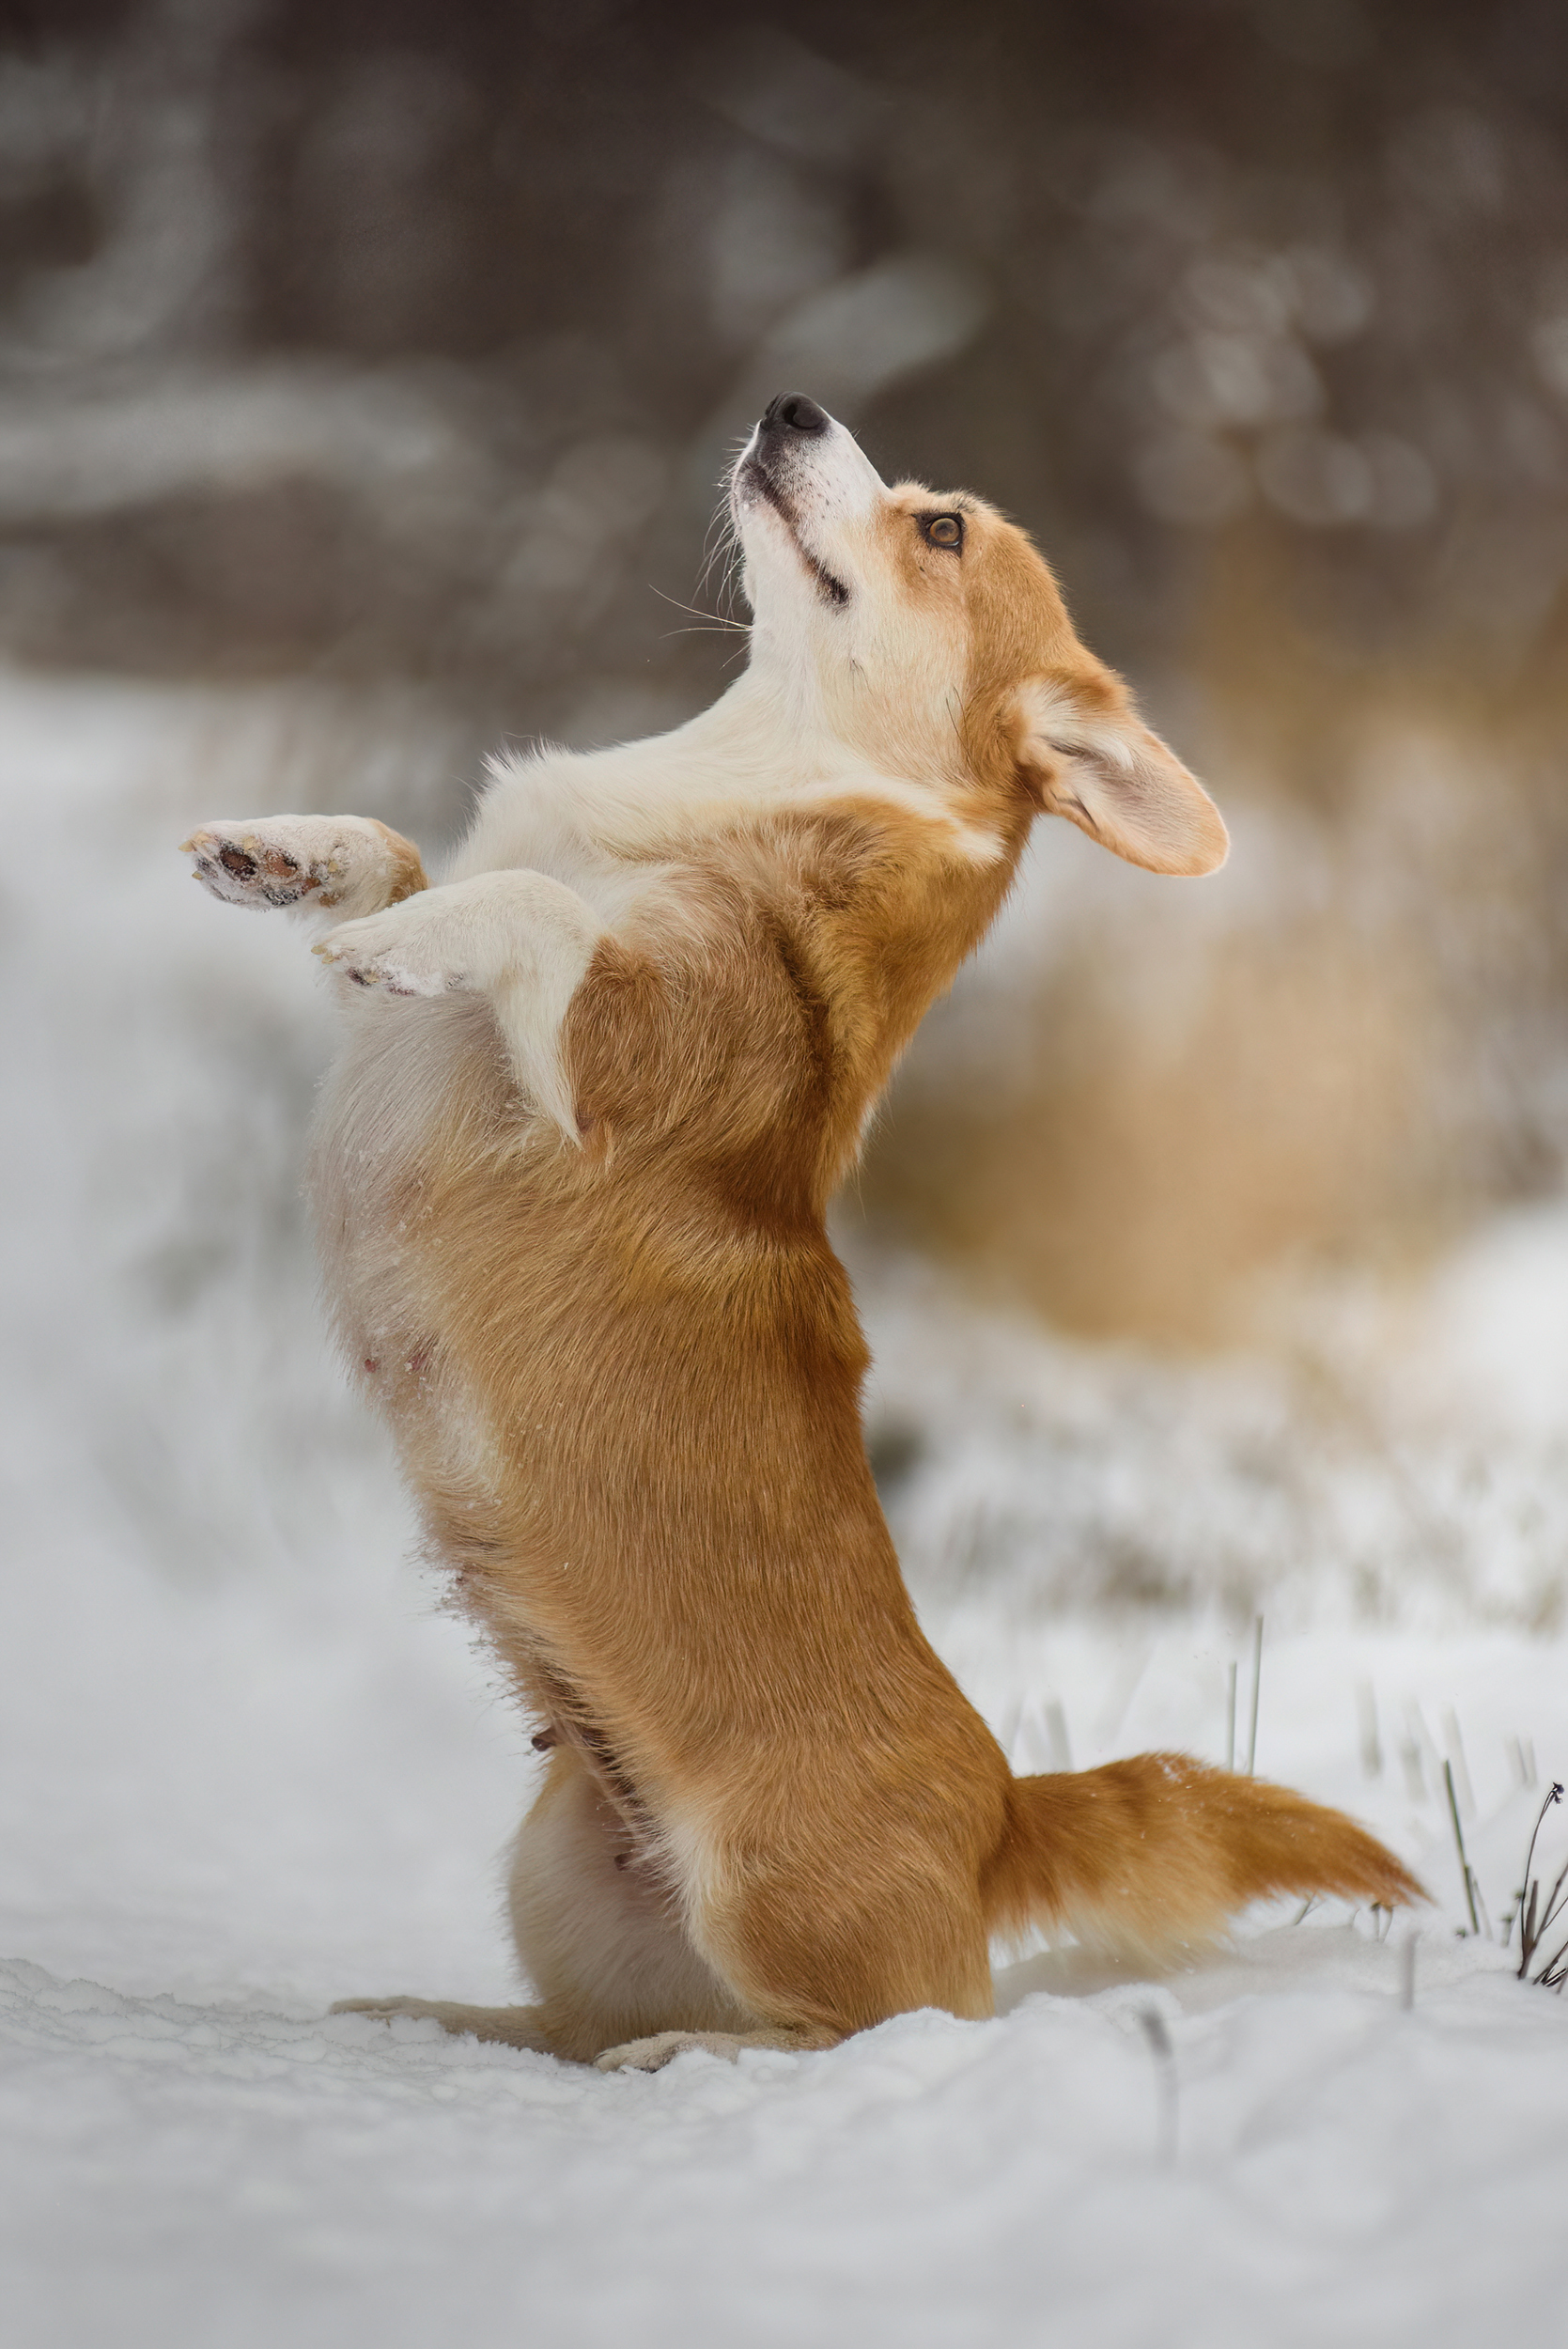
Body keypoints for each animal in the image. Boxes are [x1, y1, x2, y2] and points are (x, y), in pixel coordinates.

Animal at [180, 390, 1418, 2077]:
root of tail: (1001, 1817)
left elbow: (524, 912)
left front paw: (404, 931)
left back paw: (679, 2058)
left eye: (941, 527)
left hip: (757, 1881)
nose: (792, 403)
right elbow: (416, 851)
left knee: (851, 2032)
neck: (739, 781)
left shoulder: (607, 1050)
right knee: (578, 2019)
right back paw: (446, 2017)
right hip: (549, 1861)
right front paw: (290, 858)